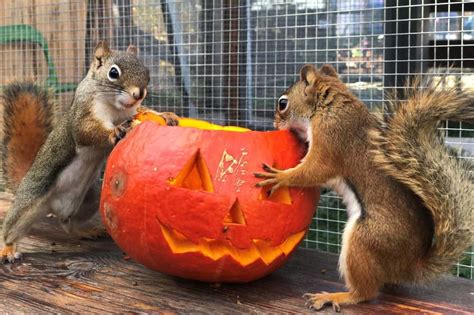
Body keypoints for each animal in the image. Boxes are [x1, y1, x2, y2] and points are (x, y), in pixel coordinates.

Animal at [0, 42, 180, 264]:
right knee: (12, 227)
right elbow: (87, 132)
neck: (116, 108)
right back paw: (8, 249)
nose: (139, 94)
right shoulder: (84, 115)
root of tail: (54, 208)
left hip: (91, 198)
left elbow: (145, 112)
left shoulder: (133, 111)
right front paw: (115, 131)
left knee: (69, 224)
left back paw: (85, 231)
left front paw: (167, 115)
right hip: (30, 201)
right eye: (113, 73)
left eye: (147, 72)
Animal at [256, 63, 474, 312]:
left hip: (365, 240)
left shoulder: (331, 139)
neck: (329, 106)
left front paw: (280, 176)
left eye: (282, 103)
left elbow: (314, 171)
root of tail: (410, 266)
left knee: (366, 293)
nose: (274, 124)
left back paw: (335, 296)